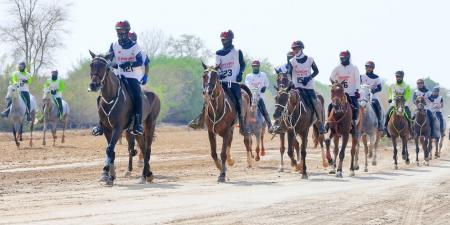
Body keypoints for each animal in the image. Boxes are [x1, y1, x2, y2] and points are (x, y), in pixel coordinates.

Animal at [88, 51, 160, 186]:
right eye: (91, 65)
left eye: (106, 67)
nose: (94, 85)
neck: (110, 98)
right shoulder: (107, 129)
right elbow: (110, 150)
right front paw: (110, 175)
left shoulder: (118, 128)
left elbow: (109, 149)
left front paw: (106, 174)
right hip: (135, 131)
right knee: (142, 148)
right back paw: (148, 174)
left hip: (150, 125)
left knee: (147, 149)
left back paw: (144, 176)